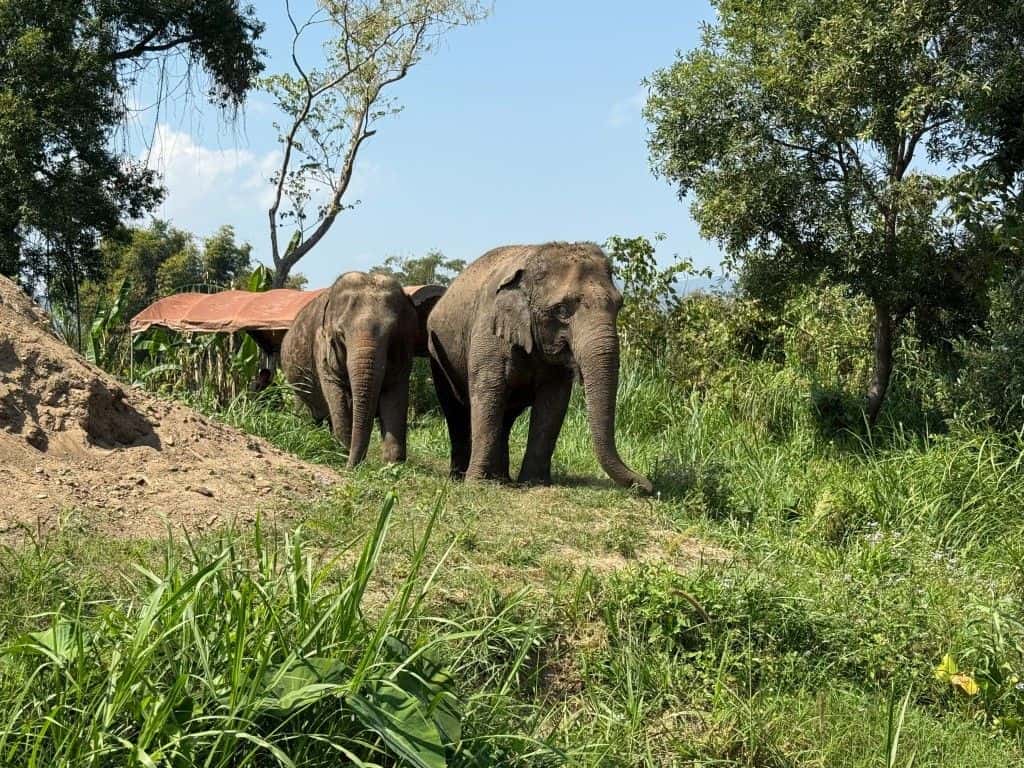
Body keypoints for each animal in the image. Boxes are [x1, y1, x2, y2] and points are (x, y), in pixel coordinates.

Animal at [281, 272, 443, 468]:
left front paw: (393, 465)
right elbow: (337, 394)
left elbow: (395, 394)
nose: (352, 467)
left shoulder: (404, 354)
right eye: (341, 334)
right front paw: (343, 453)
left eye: (392, 335)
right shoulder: (322, 347)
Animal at [426, 242, 653, 493]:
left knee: (506, 417)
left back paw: (502, 479)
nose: (648, 486)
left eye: (619, 305)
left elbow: (553, 403)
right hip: (438, 355)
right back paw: (460, 477)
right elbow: (488, 392)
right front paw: (477, 485)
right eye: (561, 310)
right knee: (455, 410)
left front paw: (535, 483)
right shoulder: (488, 331)